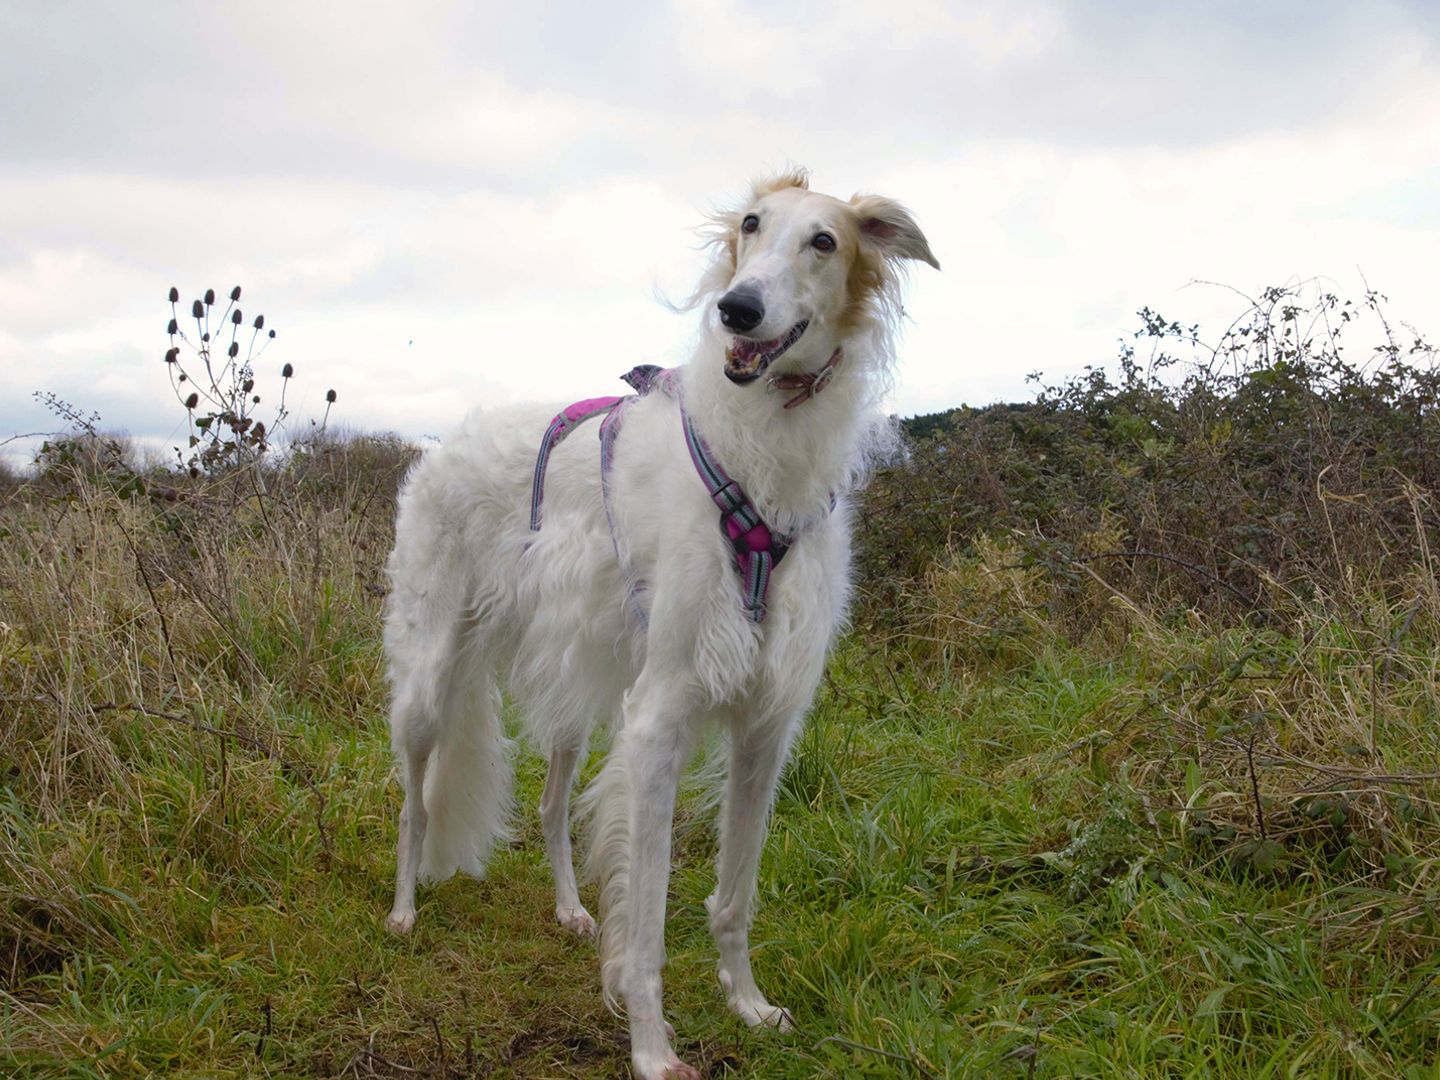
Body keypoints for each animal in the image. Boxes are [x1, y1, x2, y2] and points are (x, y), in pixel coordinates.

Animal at [383, 173, 938, 1077]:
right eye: (750, 225)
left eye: (824, 242)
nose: (738, 310)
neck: (761, 465)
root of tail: (445, 442)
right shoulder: (658, 719)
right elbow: (644, 926)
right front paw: (650, 1049)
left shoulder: (766, 725)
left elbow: (733, 897)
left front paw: (748, 1003)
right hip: (432, 676)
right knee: (414, 802)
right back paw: (402, 908)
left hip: (579, 686)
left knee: (550, 804)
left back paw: (571, 909)